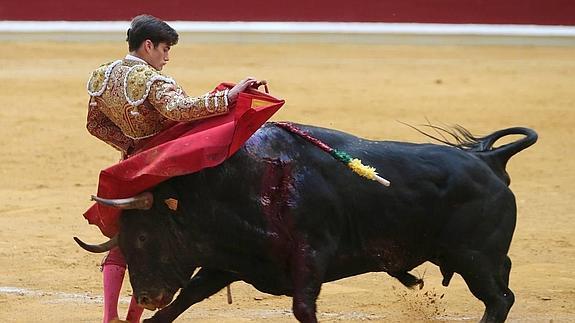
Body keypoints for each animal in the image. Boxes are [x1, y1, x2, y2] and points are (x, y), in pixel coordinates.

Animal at [74, 123, 536, 322]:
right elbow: (186, 299)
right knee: (505, 287)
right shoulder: (228, 261)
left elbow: (302, 306)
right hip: (477, 259)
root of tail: (489, 160)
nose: (146, 296)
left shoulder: (312, 252)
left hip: (474, 258)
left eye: (144, 235)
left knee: (499, 300)